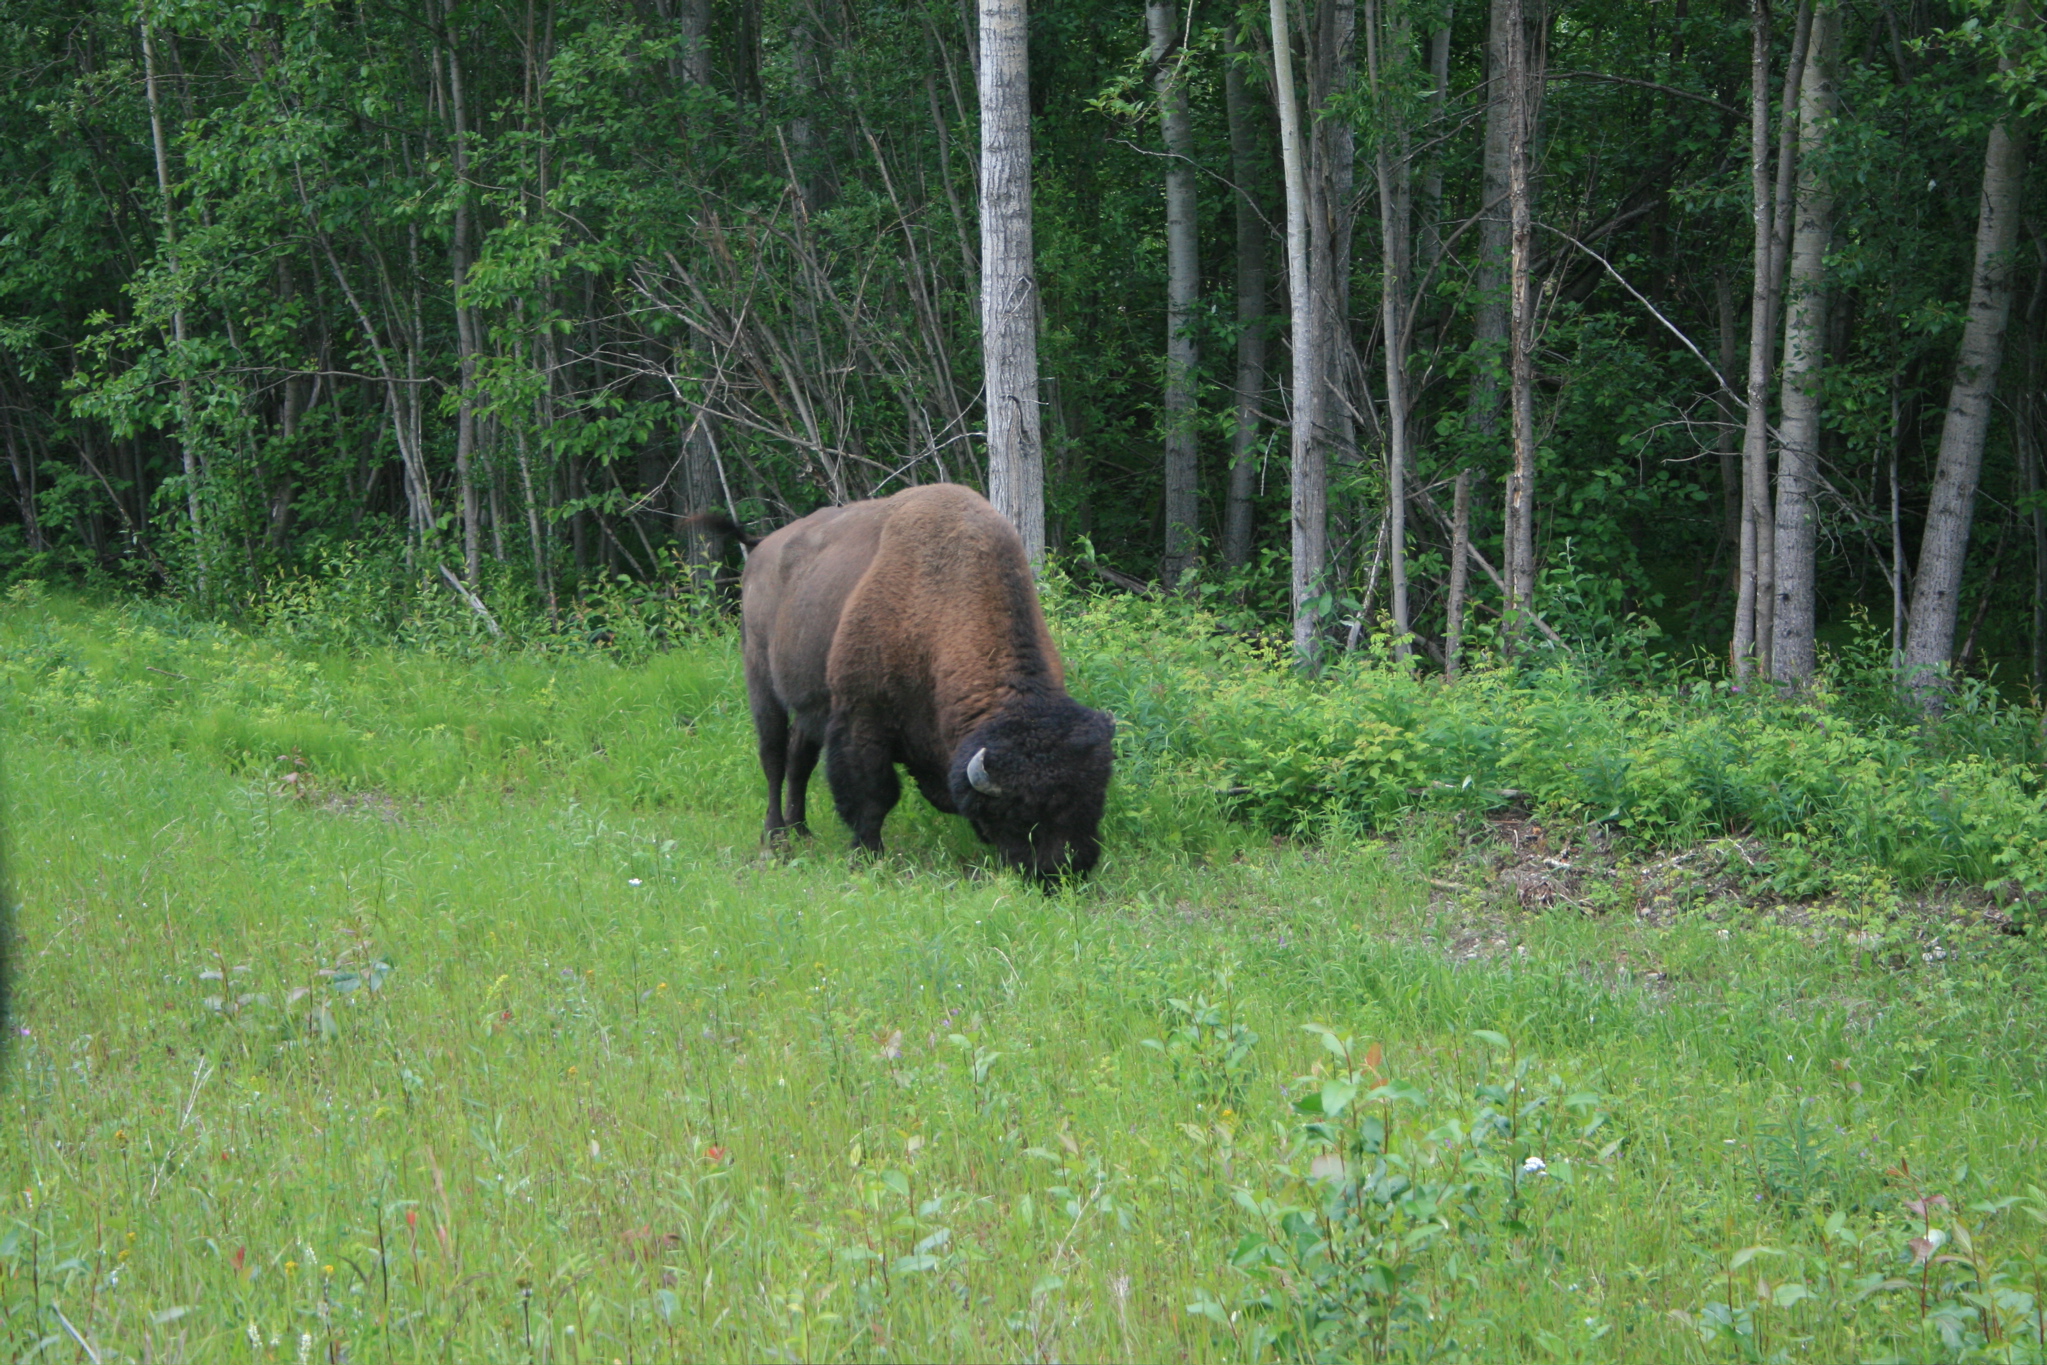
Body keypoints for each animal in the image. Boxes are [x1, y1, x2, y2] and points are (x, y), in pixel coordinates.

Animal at [712, 485, 1113, 879]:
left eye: (1095, 798)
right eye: (1023, 812)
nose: (1069, 867)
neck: (939, 604)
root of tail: (760, 548)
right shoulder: (862, 715)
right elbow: (874, 793)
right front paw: (867, 857)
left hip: (810, 704)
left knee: (800, 758)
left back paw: (802, 831)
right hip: (760, 679)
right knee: (774, 757)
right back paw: (776, 836)